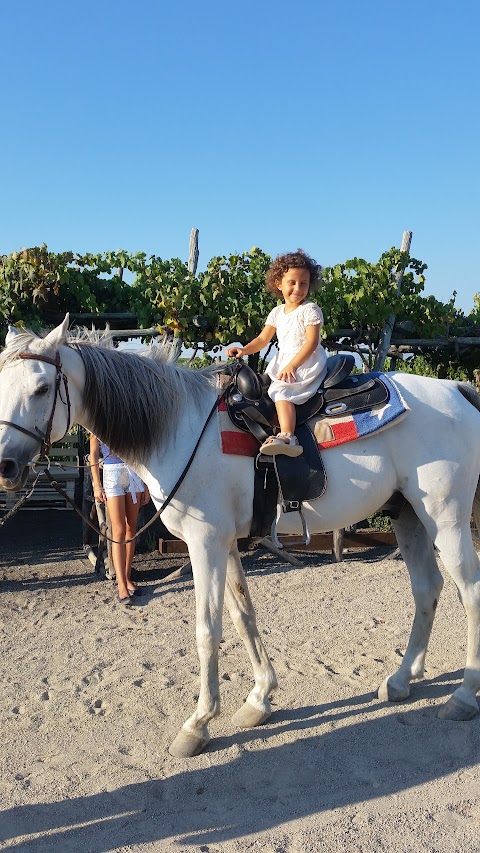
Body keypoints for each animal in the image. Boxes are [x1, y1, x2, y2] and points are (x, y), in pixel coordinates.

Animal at [0, 316, 478, 756]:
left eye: (42, 388)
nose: (6, 466)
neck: (179, 429)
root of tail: (458, 390)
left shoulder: (204, 542)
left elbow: (207, 629)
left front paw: (198, 723)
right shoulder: (225, 543)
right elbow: (242, 615)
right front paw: (259, 700)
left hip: (446, 520)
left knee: (468, 591)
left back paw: (463, 696)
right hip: (409, 516)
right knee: (427, 589)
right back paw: (401, 680)